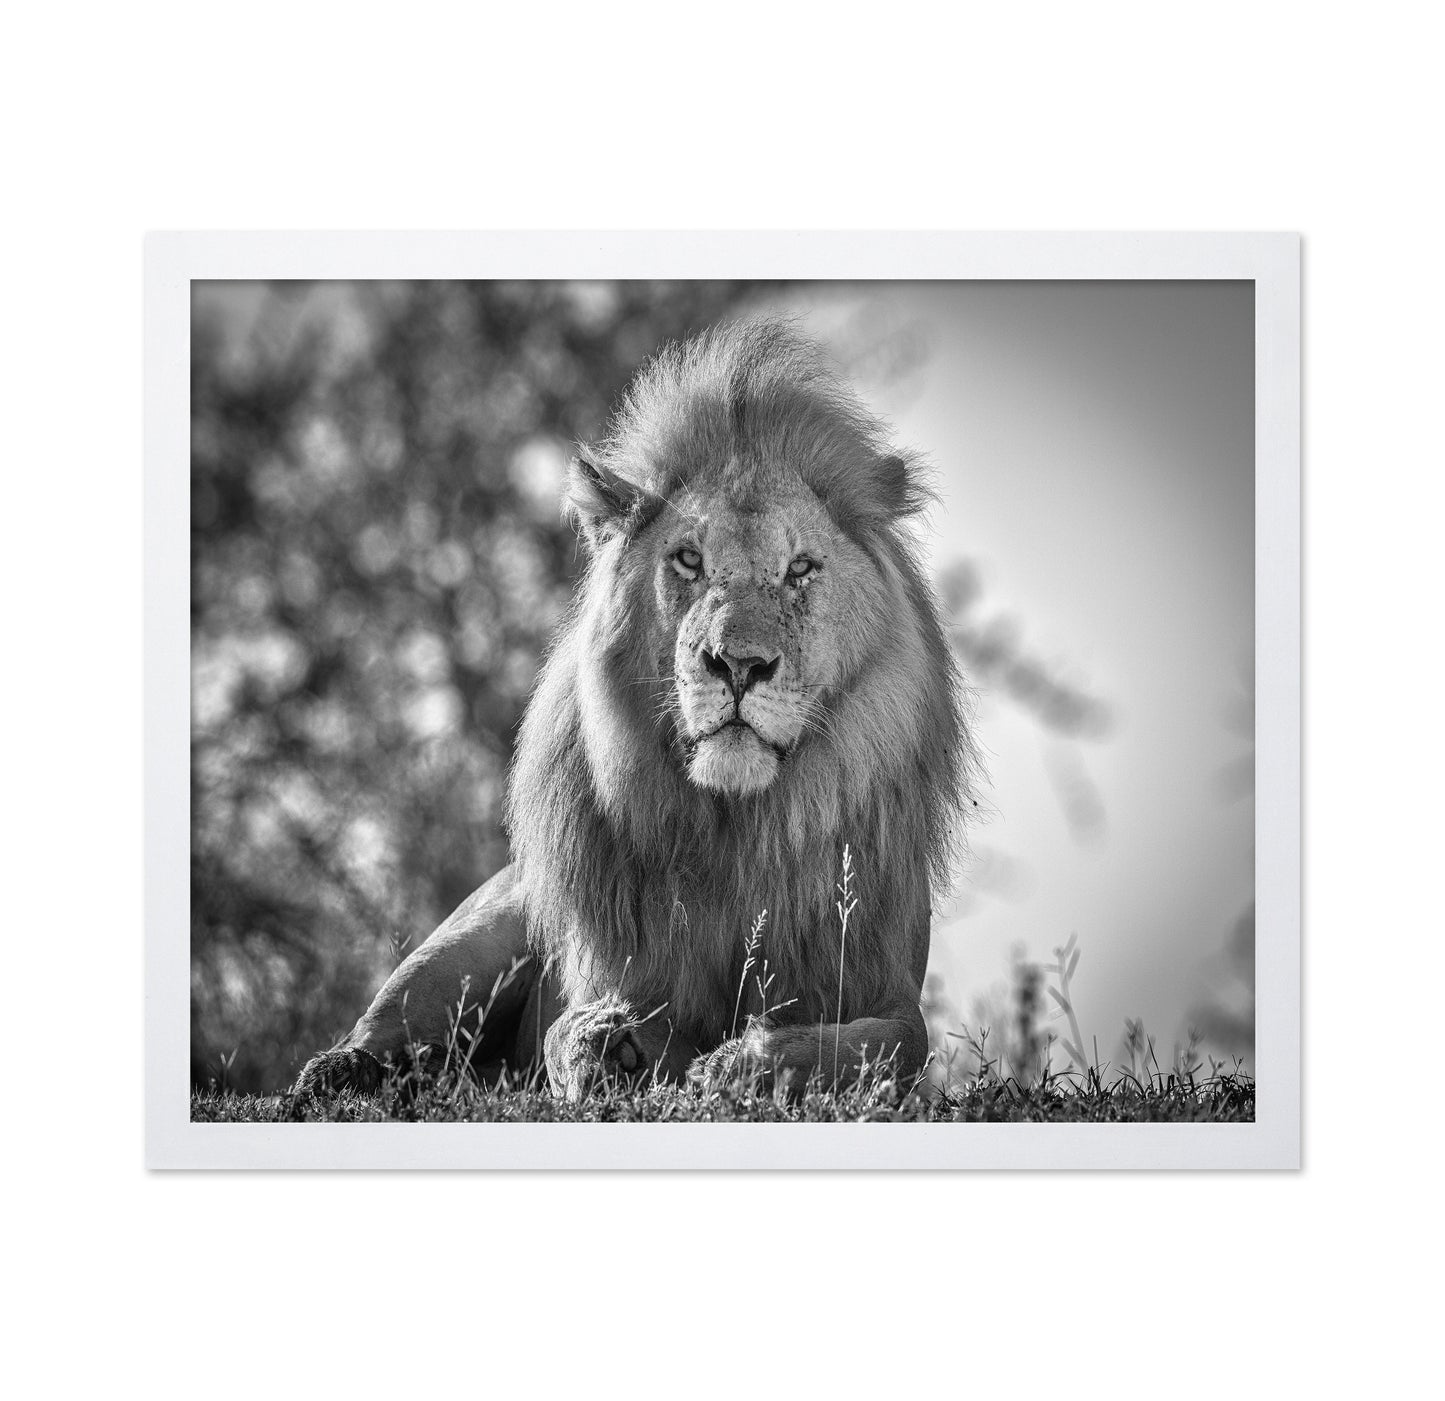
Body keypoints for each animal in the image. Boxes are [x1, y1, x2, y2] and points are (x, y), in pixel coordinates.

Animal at [293, 317, 973, 1102]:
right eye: (688, 561)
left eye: (800, 568)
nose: (739, 664)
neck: (739, 830)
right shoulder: (609, 972)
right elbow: (568, 1028)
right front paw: (612, 1045)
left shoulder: (886, 987)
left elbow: (884, 1046)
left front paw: (744, 1061)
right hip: (479, 932)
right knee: (390, 1029)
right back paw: (339, 1072)